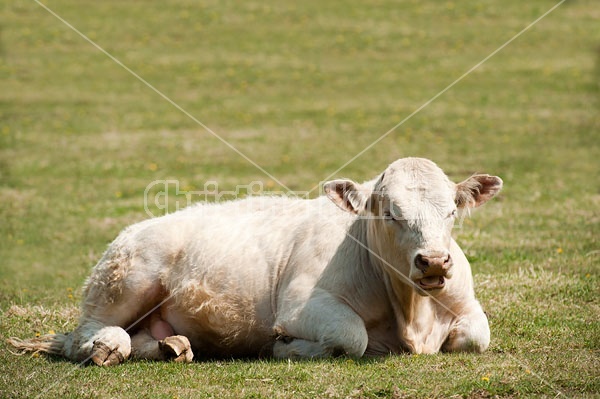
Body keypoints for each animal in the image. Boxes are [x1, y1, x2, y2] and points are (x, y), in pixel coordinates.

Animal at [8, 158, 502, 364]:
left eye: (452, 212)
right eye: (390, 212)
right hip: (127, 278)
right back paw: (109, 345)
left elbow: (476, 336)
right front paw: (286, 347)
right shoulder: (301, 304)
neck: (412, 318)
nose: (433, 261)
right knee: (83, 336)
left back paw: (173, 347)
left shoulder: (468, 305)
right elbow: (352, 336)